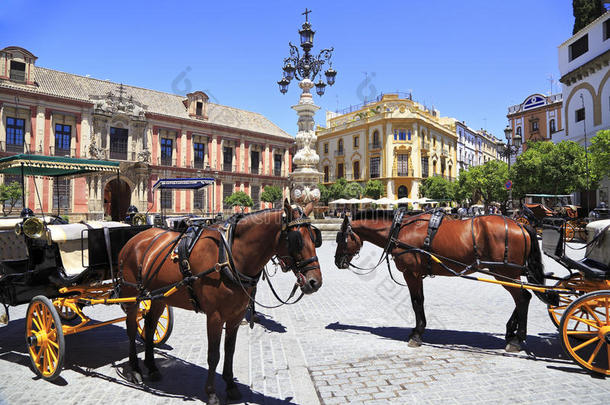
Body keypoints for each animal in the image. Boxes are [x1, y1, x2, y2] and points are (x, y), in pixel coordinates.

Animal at [116, 200, 320, 404]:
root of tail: (134, 240)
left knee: (150, 327)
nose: (315, 282)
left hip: (158, 297)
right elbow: (213, 355)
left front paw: (230, 386)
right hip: (133, 296)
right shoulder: (214, 316)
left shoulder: (236, 315)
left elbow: (230, 350)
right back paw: (135, 370)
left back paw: (152, 368)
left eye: (314, 237)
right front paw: (212, 393)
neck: (229, 256)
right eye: (297, 240)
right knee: (132, 327)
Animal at [332, 210, 556, 352]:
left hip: (505, 272)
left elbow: (416, 302)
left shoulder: (411, 274)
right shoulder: (416, 274)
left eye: (340, 238)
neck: (400, 229)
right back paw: (511, 331)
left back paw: (517, 339)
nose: (336, 262)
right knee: (523, 297)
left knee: (523, 298)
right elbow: (419, 302)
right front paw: (418, 330)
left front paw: (417, 334)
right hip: (508, 274)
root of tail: (520, 224)